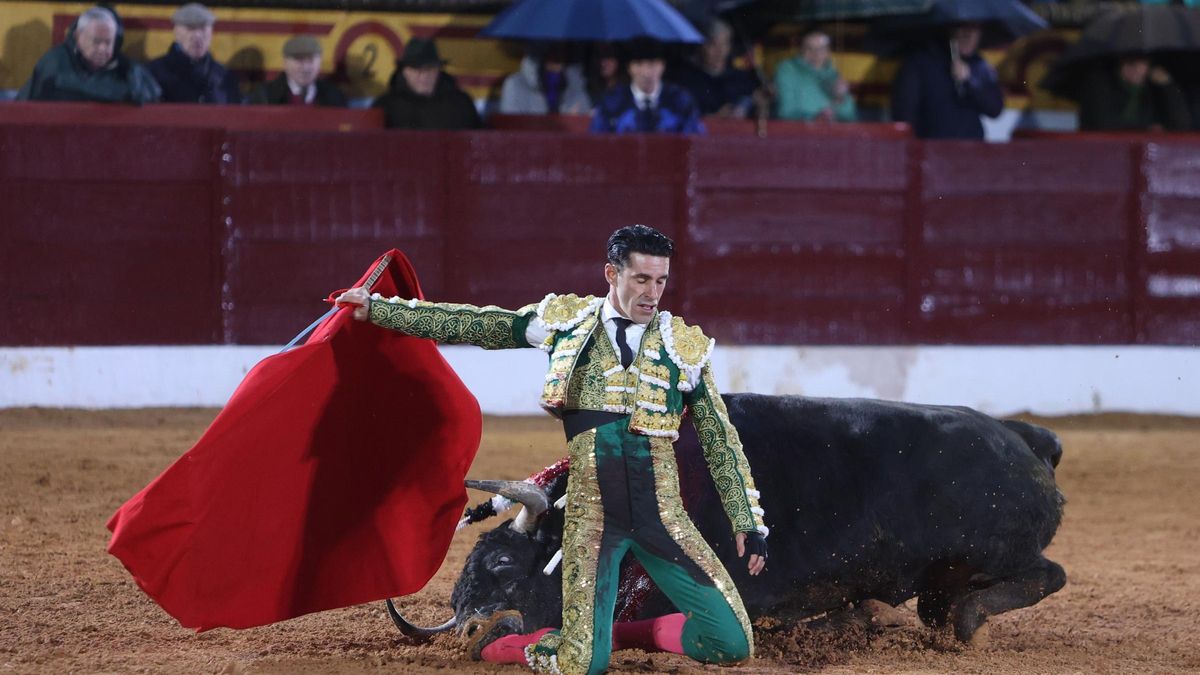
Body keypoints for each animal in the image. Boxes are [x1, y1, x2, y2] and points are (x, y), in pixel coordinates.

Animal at [388, 393, 1065, 638]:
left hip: (991, 552)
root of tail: (1025, 437)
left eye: (505, 565)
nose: (467, 627)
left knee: (1045, 575)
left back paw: (966, 620)